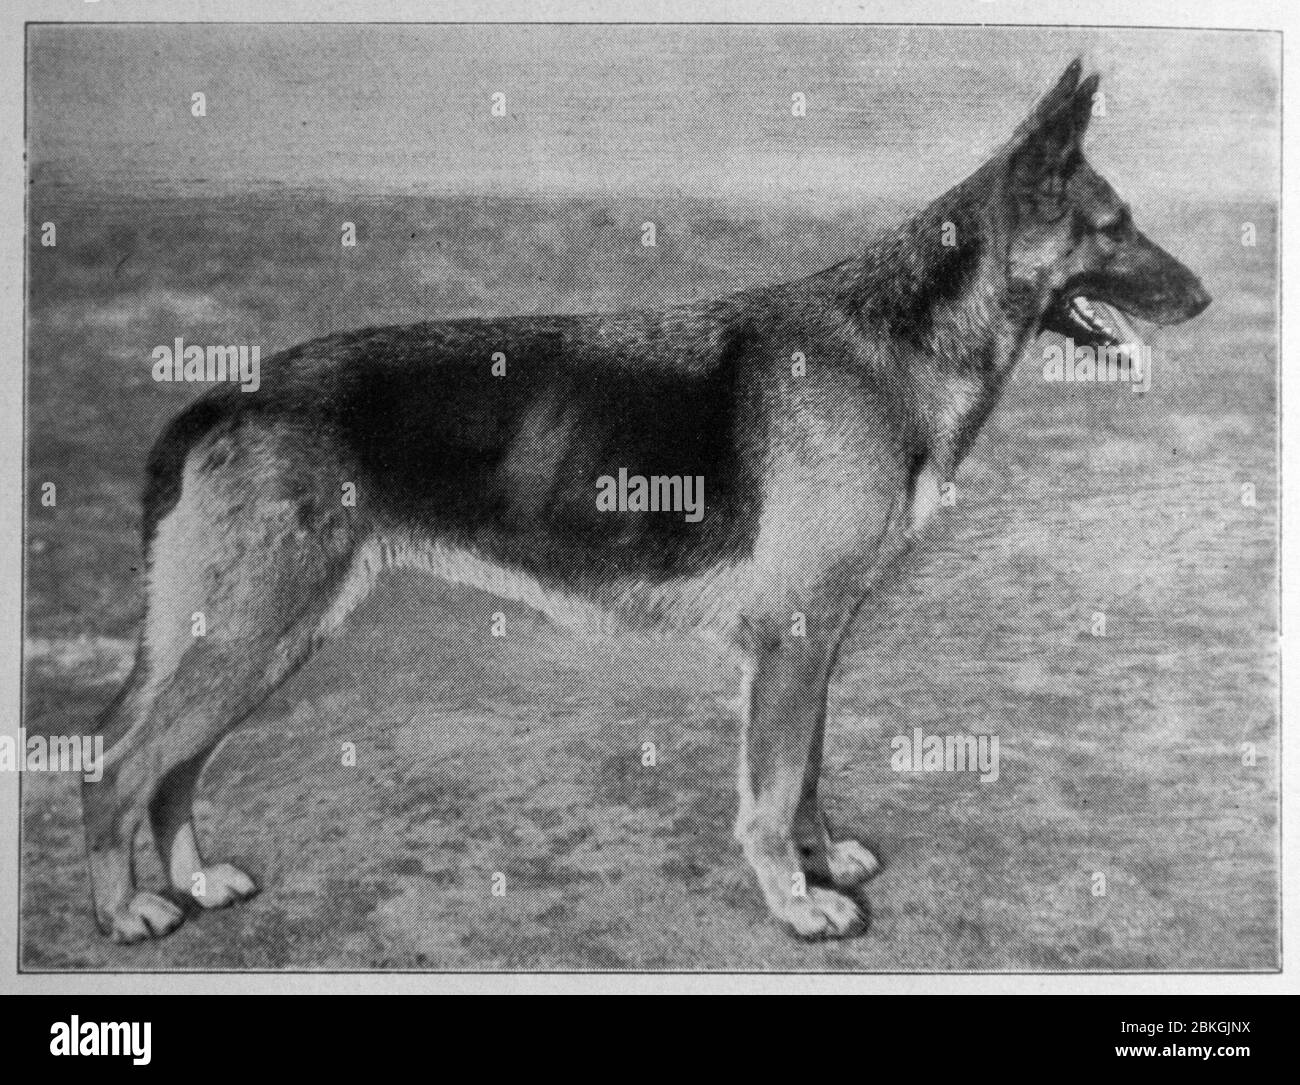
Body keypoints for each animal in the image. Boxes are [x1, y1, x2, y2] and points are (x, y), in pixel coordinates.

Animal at [83, 61, 1206, 940]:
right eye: (1116, 227)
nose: (1203, 297)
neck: (898, 338)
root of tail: (229, 390)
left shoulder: (816, 642)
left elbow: (807, 771)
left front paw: (821, 860)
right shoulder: (791, 644)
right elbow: (770, 789)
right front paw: (795, 902)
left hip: (264, 640)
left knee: (171, 767)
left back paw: (195, 882)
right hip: (251, 636)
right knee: (119, 766)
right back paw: (126, 909)